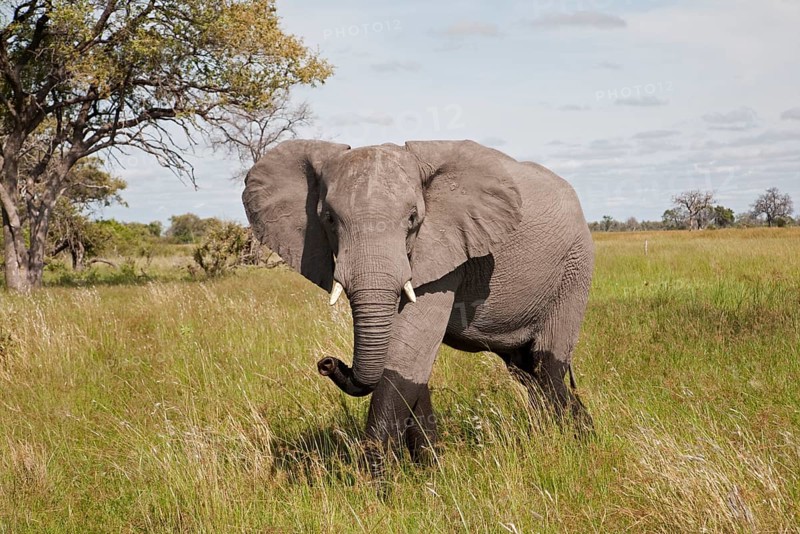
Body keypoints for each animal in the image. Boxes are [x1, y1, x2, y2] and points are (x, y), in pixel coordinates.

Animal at [242, 139, 594, 479]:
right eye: (328, 219)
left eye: (413, 219)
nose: (326, 363)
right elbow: (410, 364)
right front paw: (430, 474)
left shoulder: (445, 248)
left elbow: (407, 354)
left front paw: (379, 489)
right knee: (525, 371)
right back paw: (555, 435)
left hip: (574, 270)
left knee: (546, 367)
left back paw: (578, 441)